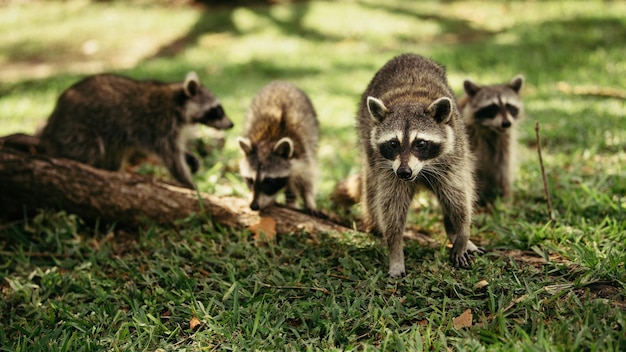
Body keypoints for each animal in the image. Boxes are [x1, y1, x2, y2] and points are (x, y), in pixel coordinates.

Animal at [37, 70, 232, 188]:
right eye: (217, 110)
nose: (231, 124)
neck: (178, 102)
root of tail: (52, 124)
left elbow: (177, 150)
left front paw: (189, 157)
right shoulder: (160, 125)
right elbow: (171, 158)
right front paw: (190, 184)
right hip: (77, 131)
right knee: (90, 151)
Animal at [236, 80, 320, 212]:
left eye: (269, 181)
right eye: (250, 180)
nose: (254, 206)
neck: (270, 139)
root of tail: (281, 82)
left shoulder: (303, 153)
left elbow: (306, 177)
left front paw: (307, 200)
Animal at [356, 53, 482, 278]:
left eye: (420, 143)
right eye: (393, 143)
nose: (404, 172)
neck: (410, 100)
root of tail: (407, 55)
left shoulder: (452, 157)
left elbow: (458, 197)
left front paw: (463, 232)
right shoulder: (387, 169)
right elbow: (391, 207)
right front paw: (395, 250)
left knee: (454, 191)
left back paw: (453, 231)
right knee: (372, 191)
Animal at [456, 75, 524, 206]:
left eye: (509, 106)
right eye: (492, 108)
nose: (506, 123)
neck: (490, 130)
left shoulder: (505, 140)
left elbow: (503, 165)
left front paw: (506, 193)